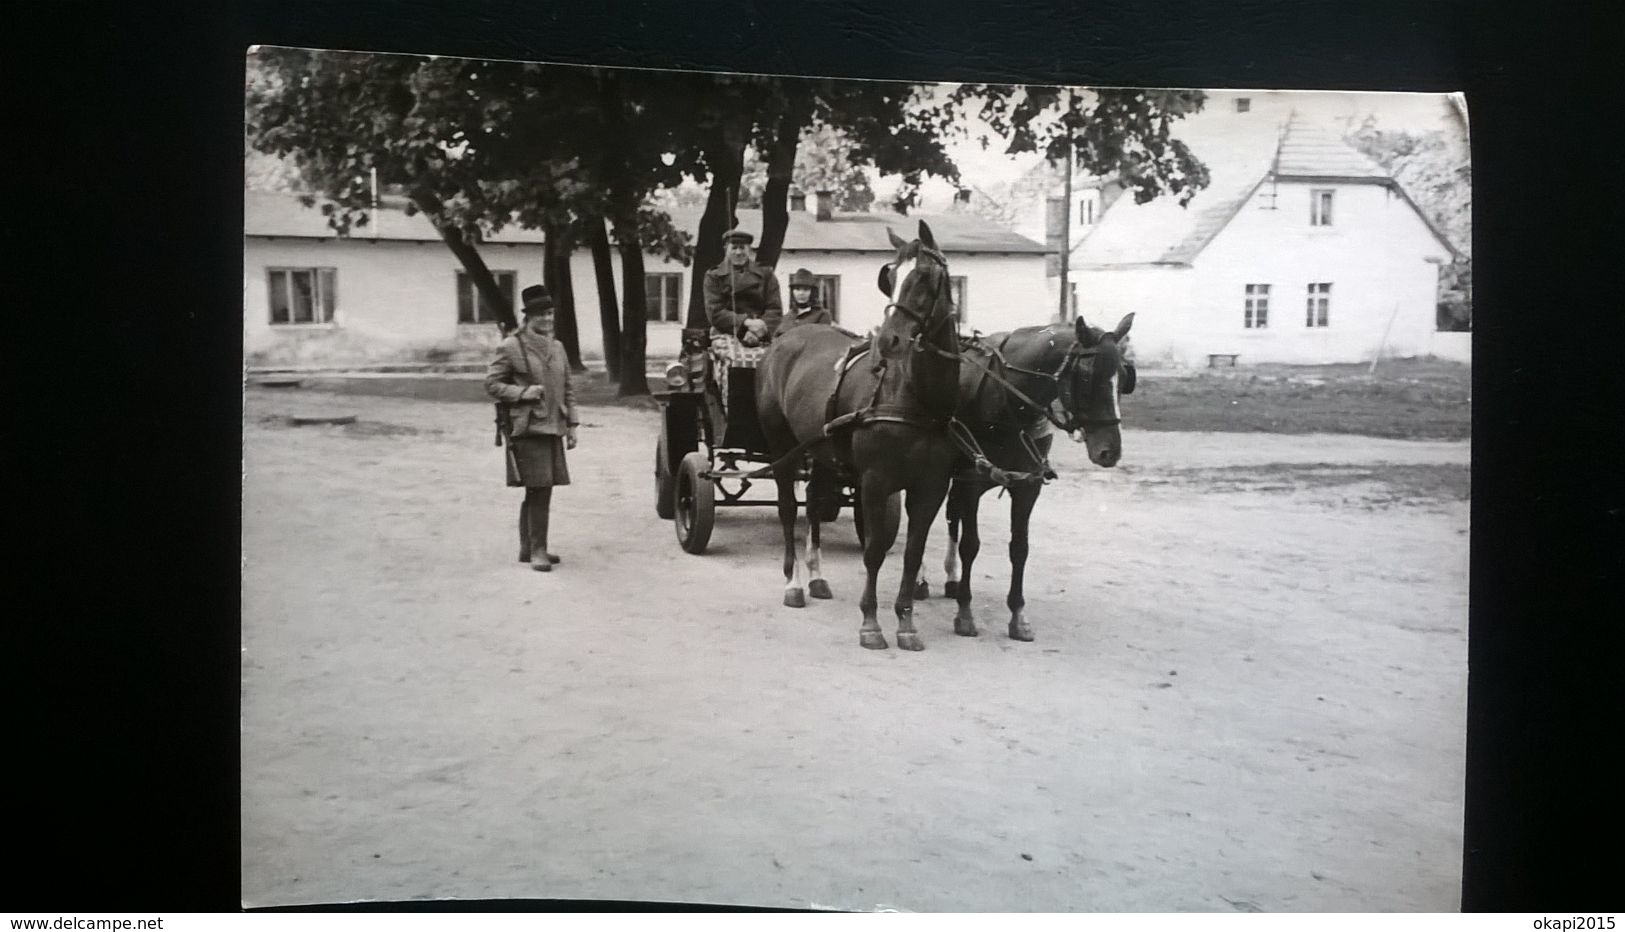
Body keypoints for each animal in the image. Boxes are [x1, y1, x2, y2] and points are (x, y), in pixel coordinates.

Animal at [754, 222, 955, 652]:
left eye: (924, 276)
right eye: (889, 278)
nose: (888, 341)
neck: (913, 396)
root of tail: (783, 342)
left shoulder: (931, 486)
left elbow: (912, 552)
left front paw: (906, 623)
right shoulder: (875, 482)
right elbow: (875, 551)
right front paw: (871, 622)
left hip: (821, 450)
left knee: (814, 502)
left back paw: (816, 576)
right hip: (782, 447)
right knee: (788, 509)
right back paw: (794, 582)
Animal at [923, 314, 1137, 642]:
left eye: (1124, 378)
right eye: (1088, 377)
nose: (1109, 451)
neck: (1006, 401)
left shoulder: (1027, 486)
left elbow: (1019, 549)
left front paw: (1018, 616)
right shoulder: (971, 481)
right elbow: (970, 545)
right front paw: (965, 613)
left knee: (950, 514)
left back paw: (951, 577)